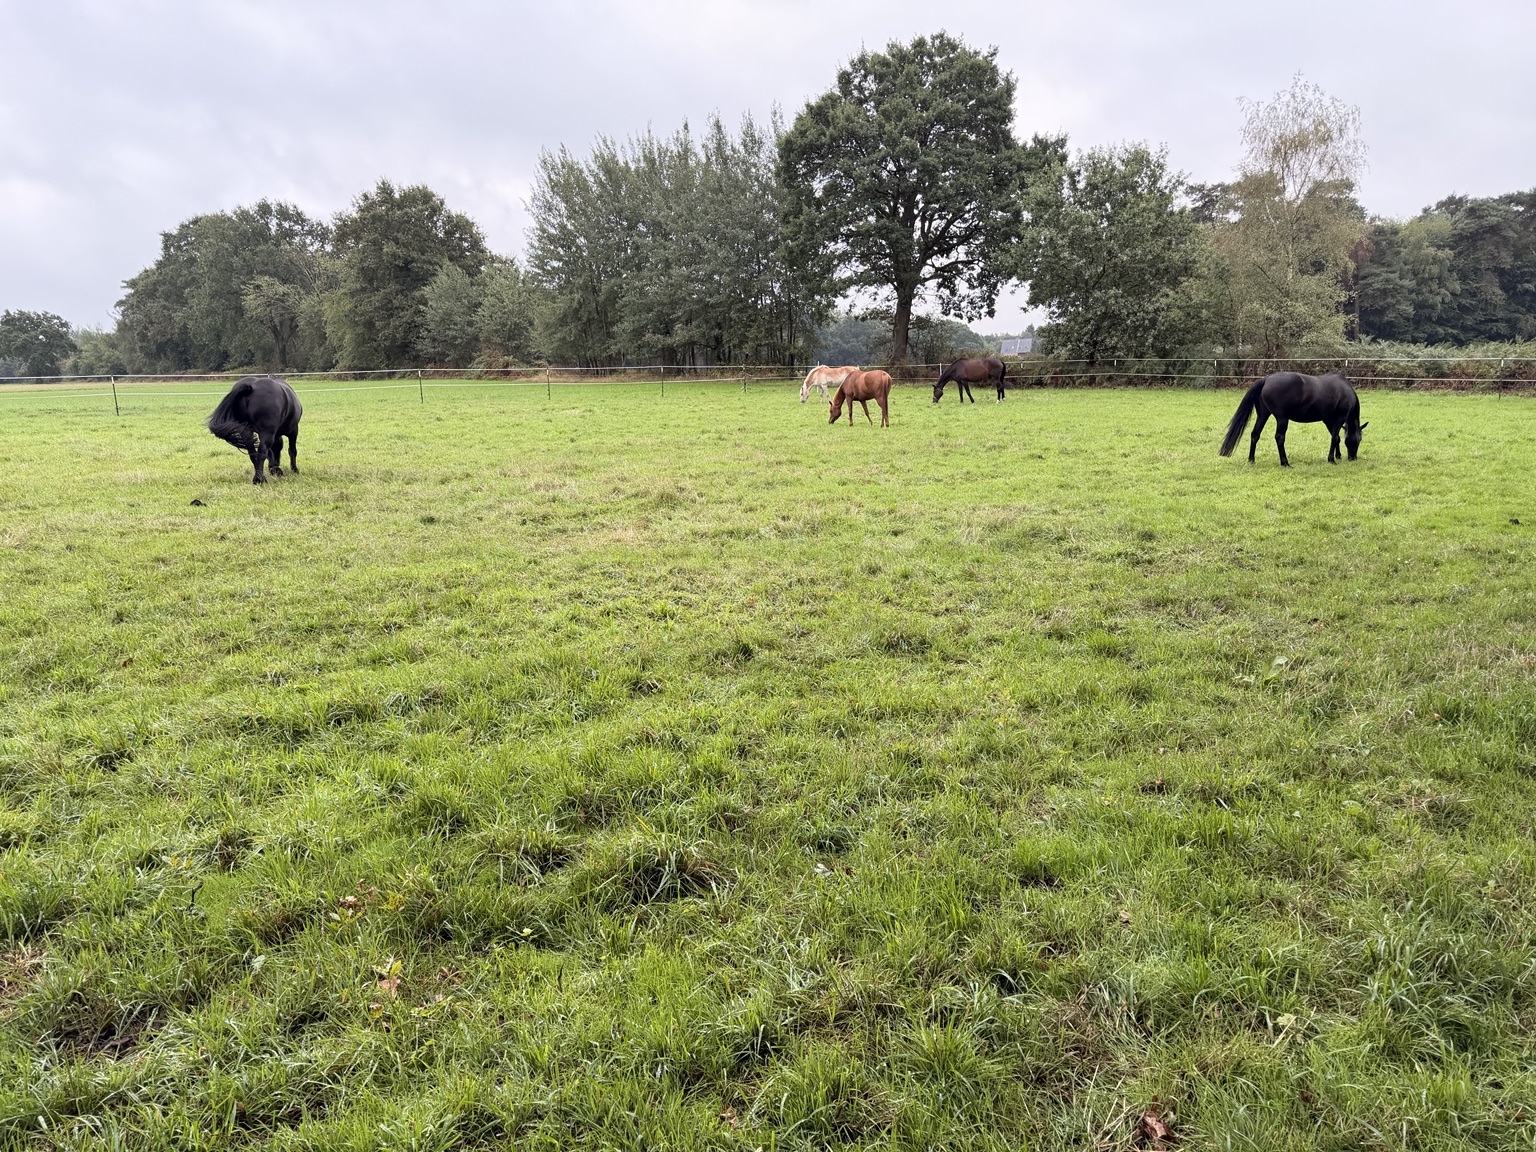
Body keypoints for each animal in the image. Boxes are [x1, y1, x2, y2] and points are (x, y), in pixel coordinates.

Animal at [1219, 371, 1367, 466]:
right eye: (1359, 439)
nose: (1353, 458)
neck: (1345, 389)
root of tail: (1266, 379)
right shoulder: (1339, 418)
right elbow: (1335, 438)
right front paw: (1332, 459)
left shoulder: (1328, 420)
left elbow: (1336, 438)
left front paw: (1338, 456)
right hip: (1282, 419)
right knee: (1279, 438)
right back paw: (1285, 462)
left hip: (1263, 415)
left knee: (1255, 434)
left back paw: (1251, 460)